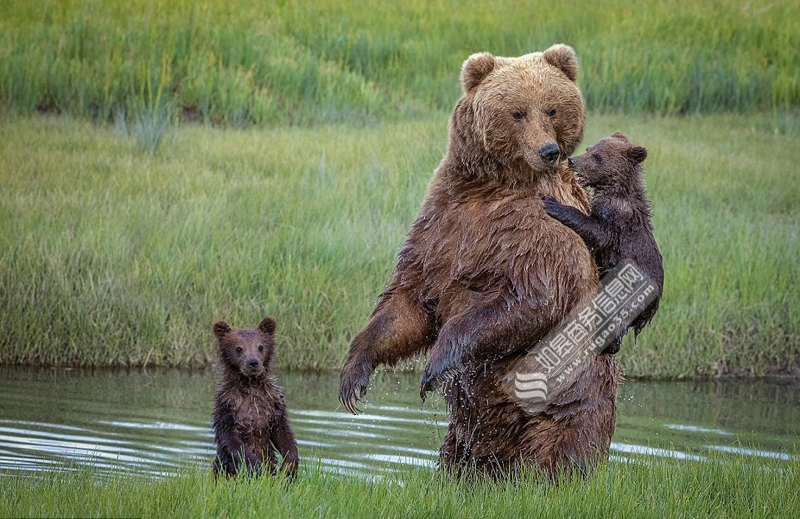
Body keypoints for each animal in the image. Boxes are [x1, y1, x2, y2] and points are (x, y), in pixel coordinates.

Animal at [340, 44, 620, 480]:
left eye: (552, 109)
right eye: (517, 112)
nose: (548, 151)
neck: (493, 185)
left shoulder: (541, 229)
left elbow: (532, 299)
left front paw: (435, 364)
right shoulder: (443, 223)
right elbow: (409, 302)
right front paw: (354, 378)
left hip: (566, 401)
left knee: (561, 450)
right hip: (467, 434)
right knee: (460, 455)